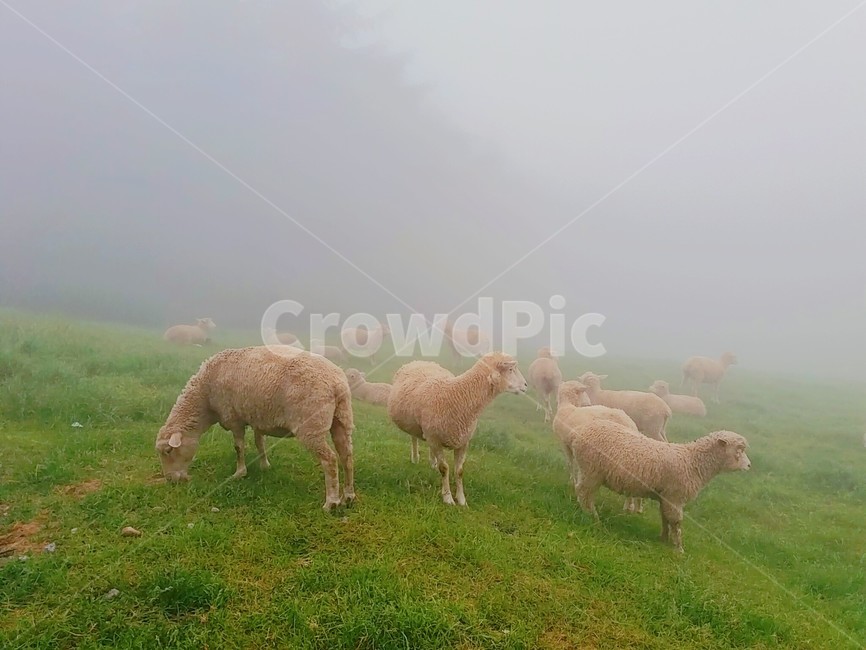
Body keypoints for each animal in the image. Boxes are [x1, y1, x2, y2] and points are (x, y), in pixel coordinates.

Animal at [154, 346, 355, 510]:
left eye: (168, 451)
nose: (171, 480)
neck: (205, 399)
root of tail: (336, 383)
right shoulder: (258, 417)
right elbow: (260, 443)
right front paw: (264, 465)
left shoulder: (234, 418)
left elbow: (238, 447)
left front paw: (239, 473)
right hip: (342, 418)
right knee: (346, 456)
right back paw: (349, 496)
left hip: (311, 426)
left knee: (329, 460)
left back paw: (331, 502)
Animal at [388, 352, 527, 505]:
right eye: (511, 369)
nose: (526, 385)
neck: (458, 395)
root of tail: (420, 361)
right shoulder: (435, 440)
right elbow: (444, 468)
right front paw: (448, 498)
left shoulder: (463, 441)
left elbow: (459, 471)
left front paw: (461, 500)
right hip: (415, 423)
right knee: (413, 437)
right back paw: (415, 458)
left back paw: (432, 462)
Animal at [569, 424, 751, 552]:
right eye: (739, 450)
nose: (749, 465)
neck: (692, 462)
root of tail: (578, 433)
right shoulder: (675, 497)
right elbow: (676, 523)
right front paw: (678, 548)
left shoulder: (666, 497)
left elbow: (665, 518)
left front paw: (663, 538)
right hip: (592, 471)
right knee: (583, 493)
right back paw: (593, 517)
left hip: (587, 469)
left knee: (581, 491)